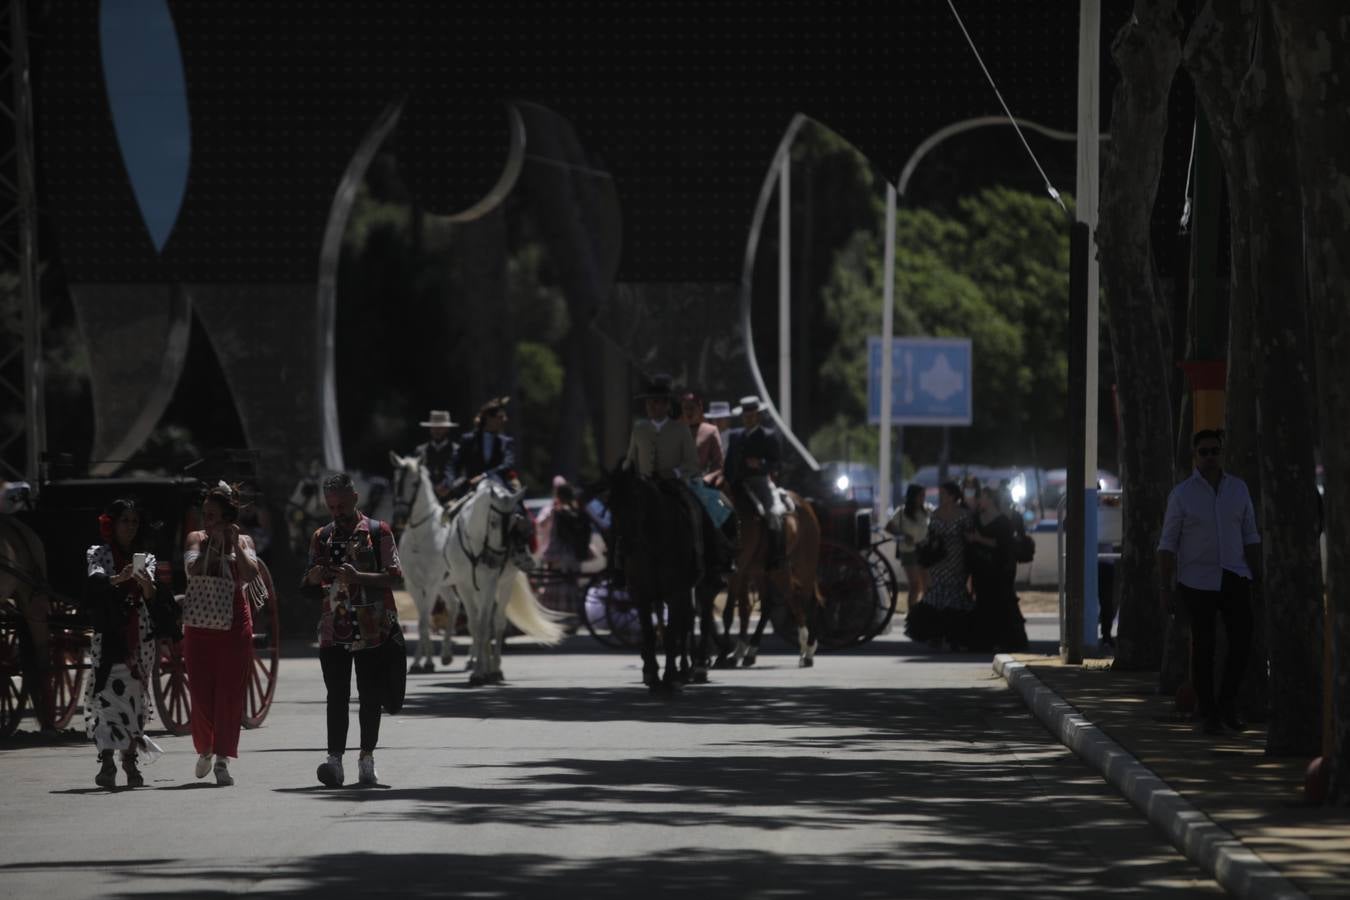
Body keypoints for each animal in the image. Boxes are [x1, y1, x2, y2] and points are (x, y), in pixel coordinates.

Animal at [718, 485, 820, 669]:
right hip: (773, 572)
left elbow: (729, 612)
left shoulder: (737, 572)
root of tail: (805, 504)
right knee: (782, 602)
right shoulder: (740, 573)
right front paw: (735, 653)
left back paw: (808, 651)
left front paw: (723, 655)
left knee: (810, 603)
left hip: (803, 569)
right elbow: (743, 610)